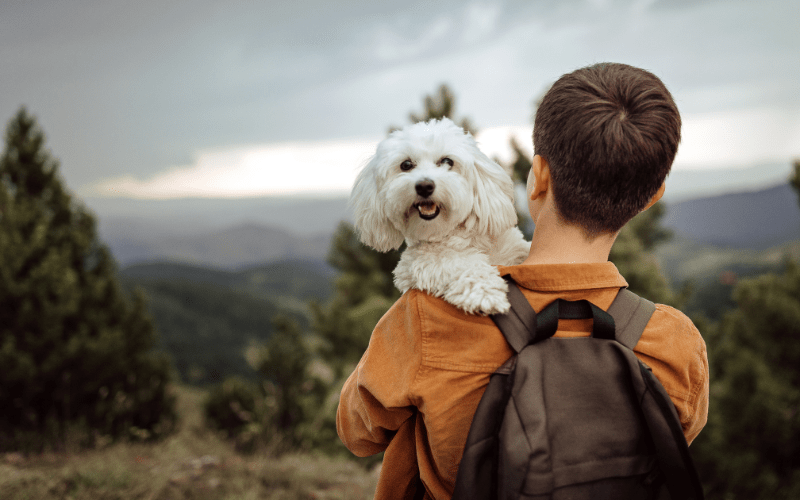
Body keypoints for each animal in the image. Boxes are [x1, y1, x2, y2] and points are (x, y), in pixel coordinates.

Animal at [352, 117, 532, 314]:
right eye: (406, 165)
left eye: (447, 161)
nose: (424, 186)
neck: (460, 238)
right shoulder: (414, 263)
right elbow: (452, 263)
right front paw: (484, 293)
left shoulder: (514, 249)